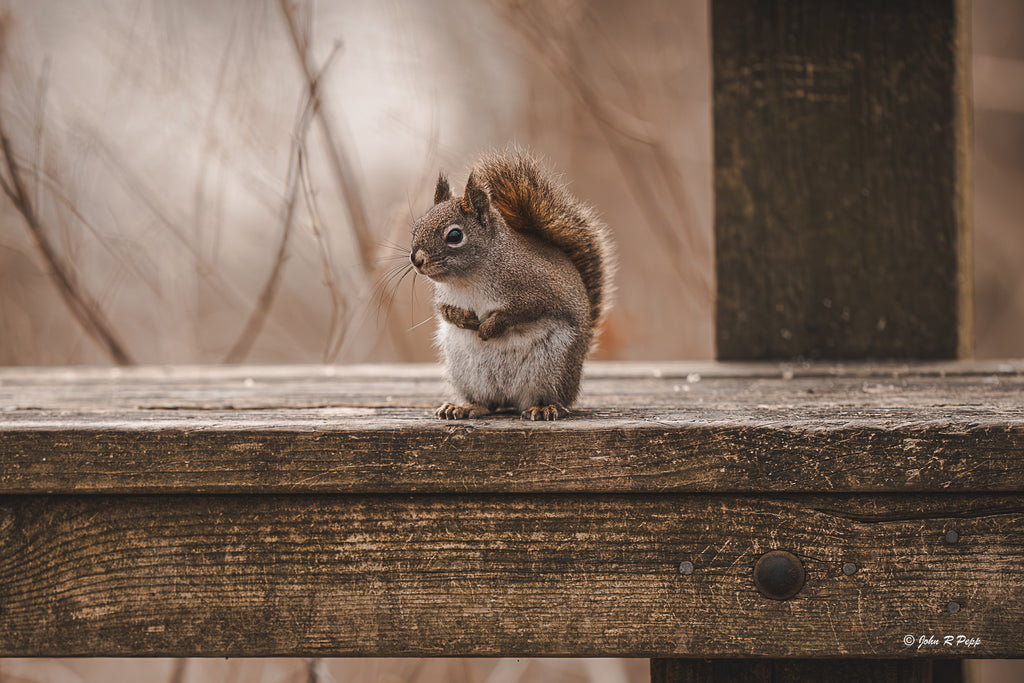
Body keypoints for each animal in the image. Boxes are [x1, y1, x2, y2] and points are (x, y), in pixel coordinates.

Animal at [409, 146, 614, 420]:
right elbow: (445, 311)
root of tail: (509, 398)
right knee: (487, 403)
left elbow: (520, 312)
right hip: (467, 372)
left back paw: (544, 407)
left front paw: (488, 327)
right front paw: (465, 319)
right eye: (416, 227)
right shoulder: (443, 298)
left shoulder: (542, 292)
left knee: (551, 398)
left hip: (553, 368)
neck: (469, 278)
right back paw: (464, 407)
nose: (416, 259)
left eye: (454, 235)